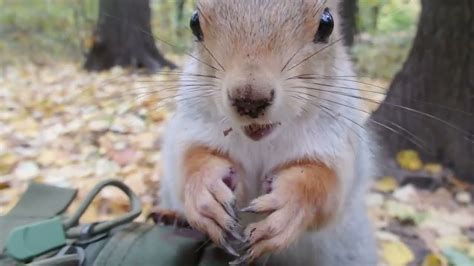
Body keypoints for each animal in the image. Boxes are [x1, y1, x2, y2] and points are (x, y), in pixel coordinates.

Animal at [159, 1, 378, 264]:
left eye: (327, 24)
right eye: (194, 22)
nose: (250, 99)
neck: (261, 142)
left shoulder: (338, 138)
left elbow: (326, 183)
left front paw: (291, 204)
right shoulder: (194, 122)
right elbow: (192, 157)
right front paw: (206, 189)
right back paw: (169, 215)